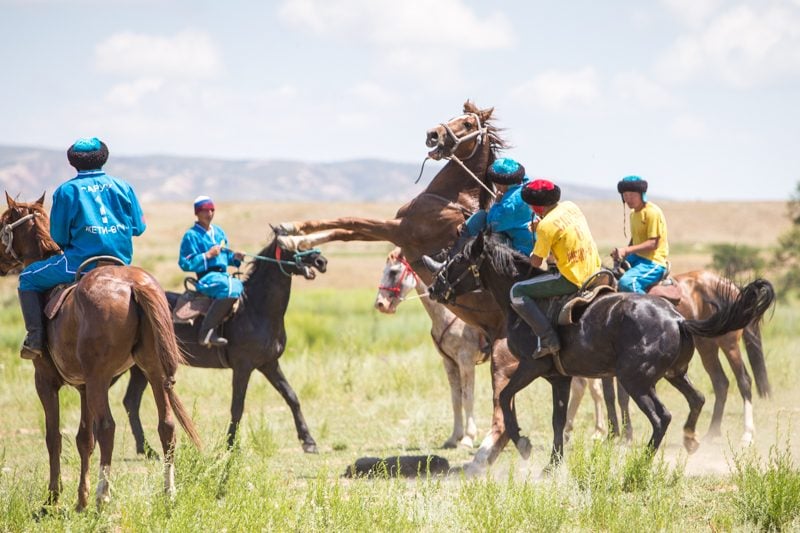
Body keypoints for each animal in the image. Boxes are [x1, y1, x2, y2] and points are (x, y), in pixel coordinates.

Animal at [0, 192, 200, 512]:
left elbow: (54, 437)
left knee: (107, 427)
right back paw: (168, 493)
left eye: (4, 222)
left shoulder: (45, 381)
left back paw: (102, 496)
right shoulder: (83, 388)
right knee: (166, 425)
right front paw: (79, 499)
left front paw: (53, 498)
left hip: (100, 379)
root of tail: (132, 284)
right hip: (152, 372)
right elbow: (84, 439)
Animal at [122, 227, 328, 456]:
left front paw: (309, 441)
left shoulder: (269, 364)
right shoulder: (243, 367)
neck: (256, 309)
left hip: (140, 368)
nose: (321, 261)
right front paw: (230, 445)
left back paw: (146, 449)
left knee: (131, 401)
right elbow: (237, 406)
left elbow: (291, 397)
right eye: (291, 246)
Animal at [374, 247, 488, 446]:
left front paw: (468, 437)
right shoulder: (449, 363)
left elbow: (468, 398)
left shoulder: (466, 362)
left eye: (393, 272)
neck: (450, 314)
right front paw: (454, 437)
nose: (380, 304)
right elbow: (456, 399)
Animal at [424, 231, 776, 464]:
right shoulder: (559, 377)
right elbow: (558, 419)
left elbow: (506, 396)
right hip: (675, 373)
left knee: (664, 415)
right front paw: (553, 464)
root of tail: (677, 318)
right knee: (701, 397)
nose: (434, 287)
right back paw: (691, 439)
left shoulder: (531, 366)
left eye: (458, 259)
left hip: (639, 381)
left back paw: (642, 462)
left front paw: (523, 444)